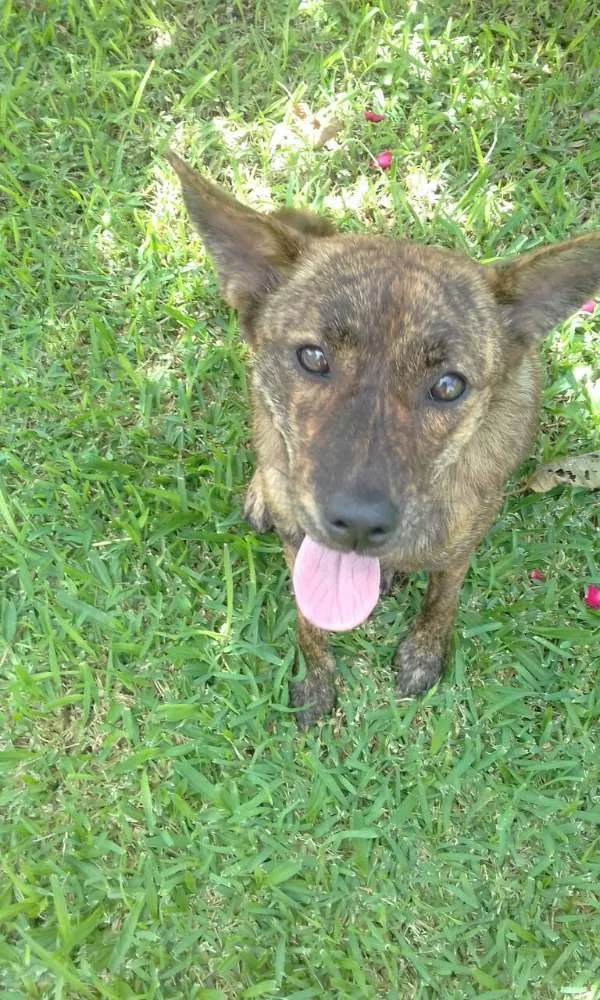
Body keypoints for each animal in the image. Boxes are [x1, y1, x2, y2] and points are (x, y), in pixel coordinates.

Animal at [165, 148, 600, 728]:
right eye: (313, 357)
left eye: (448, 386)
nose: (357, 523)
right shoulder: (297, 543)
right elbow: (307, 617)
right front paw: (316, 676)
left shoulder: (460, 544)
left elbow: (444, 596)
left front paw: (423, 653)